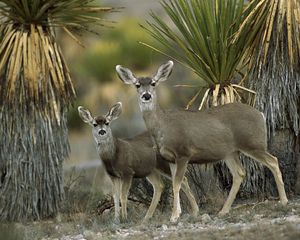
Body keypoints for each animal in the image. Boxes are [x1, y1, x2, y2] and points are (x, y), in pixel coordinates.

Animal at [116, 61, 288, 222]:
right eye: (137, 85)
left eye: (153, 83)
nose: (146, 96)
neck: (163, 127)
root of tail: (261, 114)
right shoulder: (170, 158)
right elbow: (178, 183)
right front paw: (180, 213)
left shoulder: (183, 153)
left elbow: (177, 183)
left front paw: (174, 216)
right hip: (230, 152)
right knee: (239, 173)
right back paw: (223, 211)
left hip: (253, 143)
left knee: (273, 161)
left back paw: (284, 201)